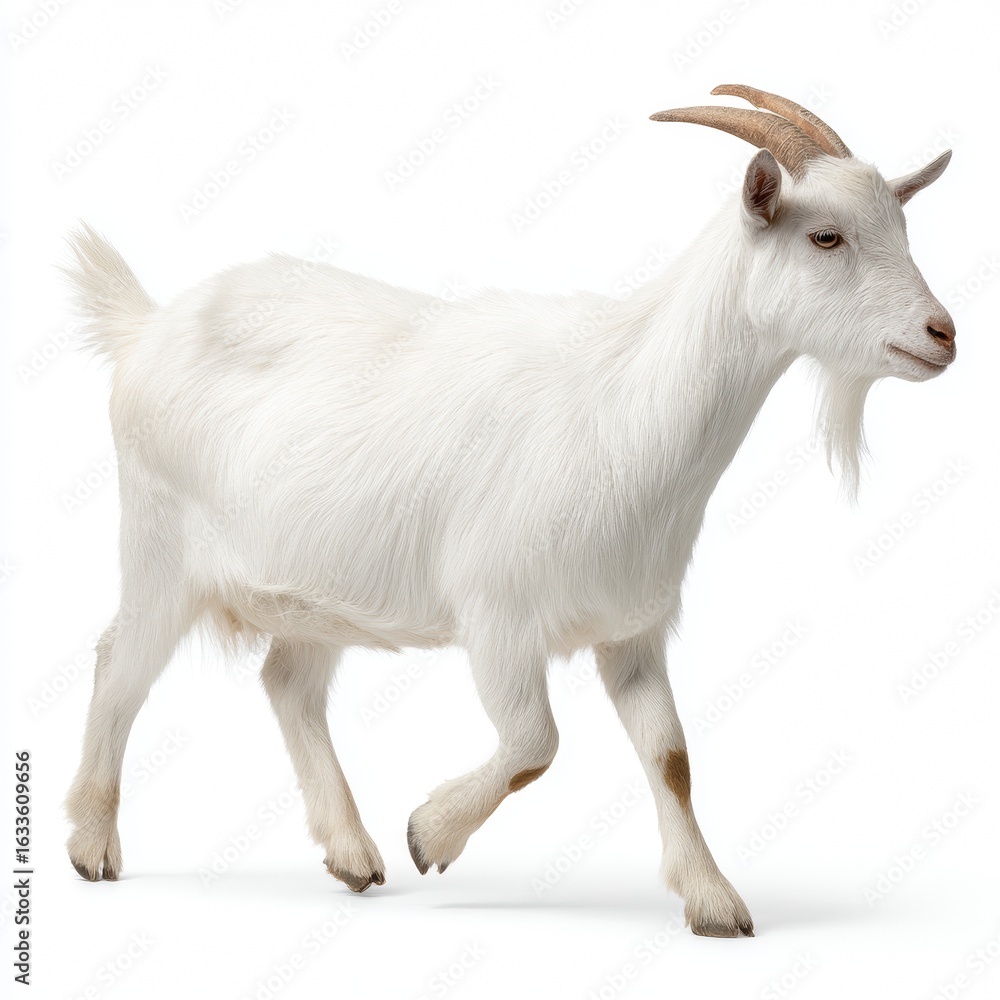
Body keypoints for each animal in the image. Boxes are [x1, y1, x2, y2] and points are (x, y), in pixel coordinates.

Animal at [64, 84, 955, 936]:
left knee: (288, 683)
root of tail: (147, 326)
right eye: (826, 237)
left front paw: (712, 901)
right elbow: (535, 742)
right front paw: (431, 832)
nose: (943, 333)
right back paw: (92, 845)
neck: (624, 403)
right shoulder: (499, 613)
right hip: (158, 543)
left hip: (316, 589)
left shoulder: (632, 630)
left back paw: (350, 851)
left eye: (903, 227)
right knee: (118, 664)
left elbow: (671, 758)